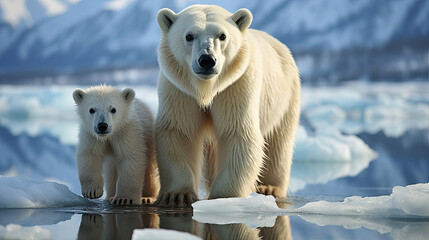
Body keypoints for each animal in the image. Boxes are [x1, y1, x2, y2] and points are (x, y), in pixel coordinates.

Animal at [155, 4, 300, 207]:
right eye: (189, 36)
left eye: (222, 35)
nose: (207, 60)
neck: (207, 89)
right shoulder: (179, 89)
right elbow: (180, 132)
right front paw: (177, 195)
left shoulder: (236, 85)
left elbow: (237, 133)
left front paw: (223, 198)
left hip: (286, 95)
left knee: (279, 140)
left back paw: (269, 187)